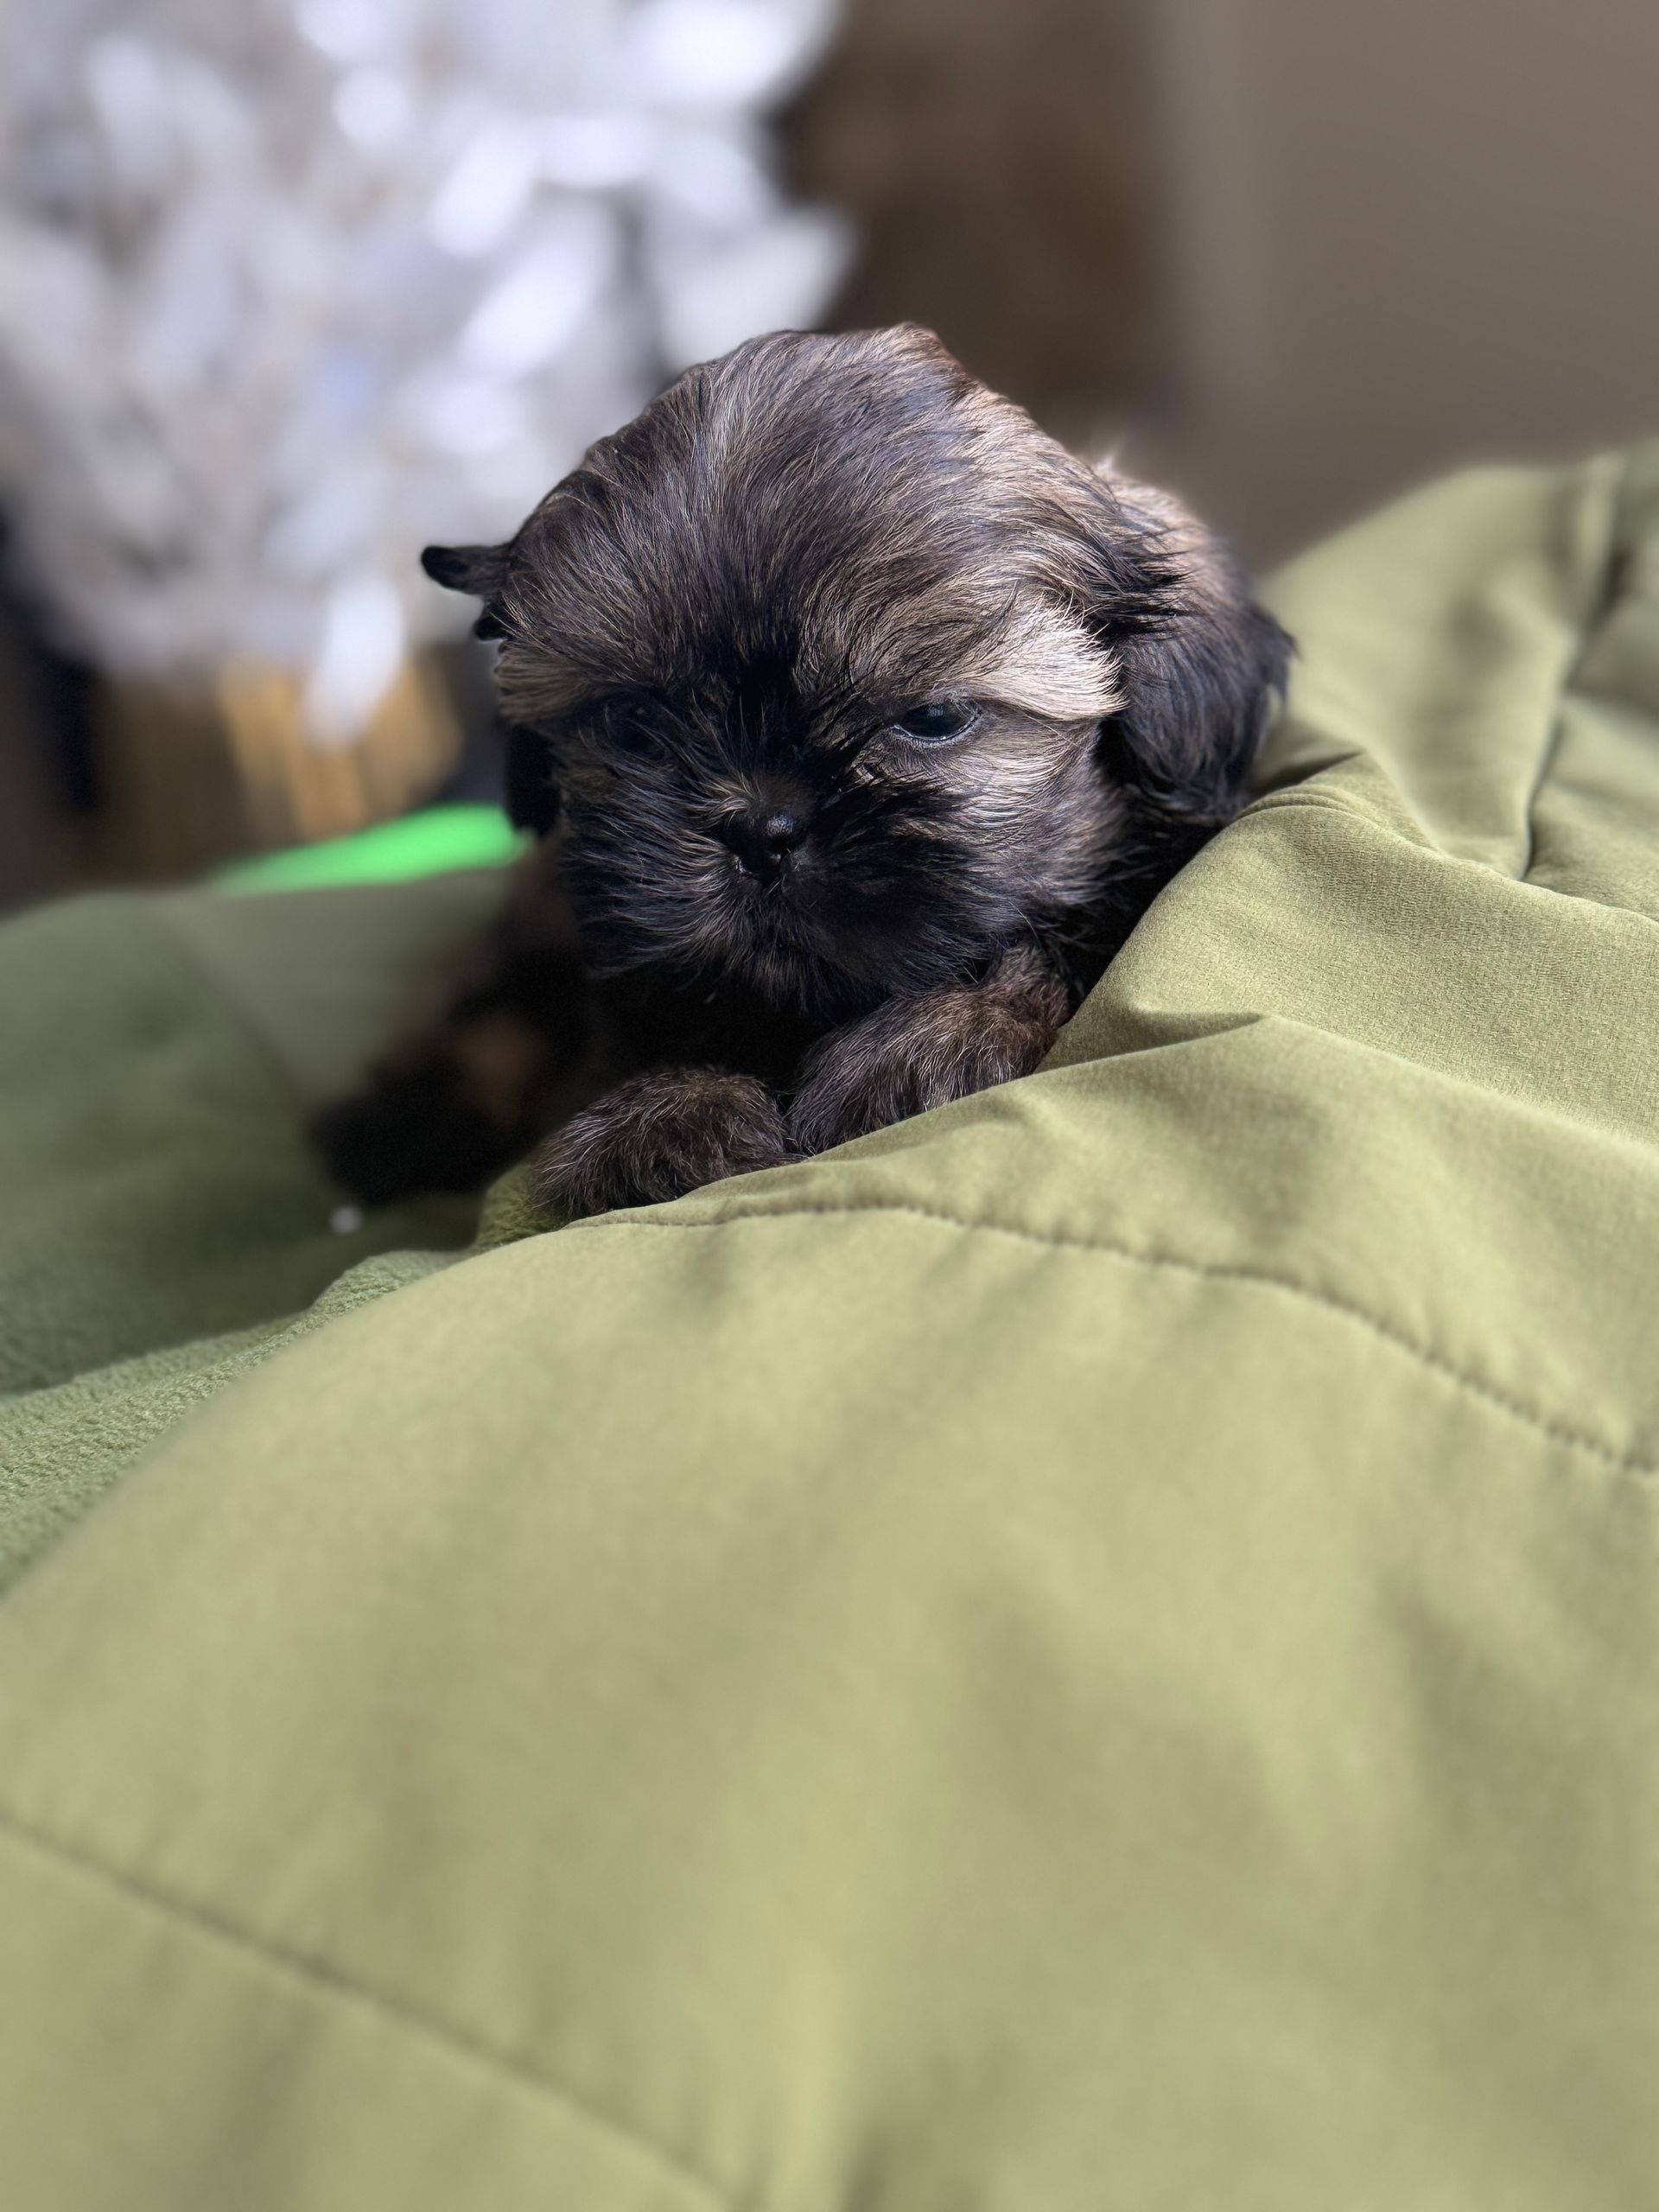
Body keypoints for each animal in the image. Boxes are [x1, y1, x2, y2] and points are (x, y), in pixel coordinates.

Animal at [314, 324, 1289, 1221]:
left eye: (932, 719)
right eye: (633, 723)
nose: (760, 828)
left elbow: (1060, 942)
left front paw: (937, 1035)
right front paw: (659, 1116)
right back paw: (408, 1114)